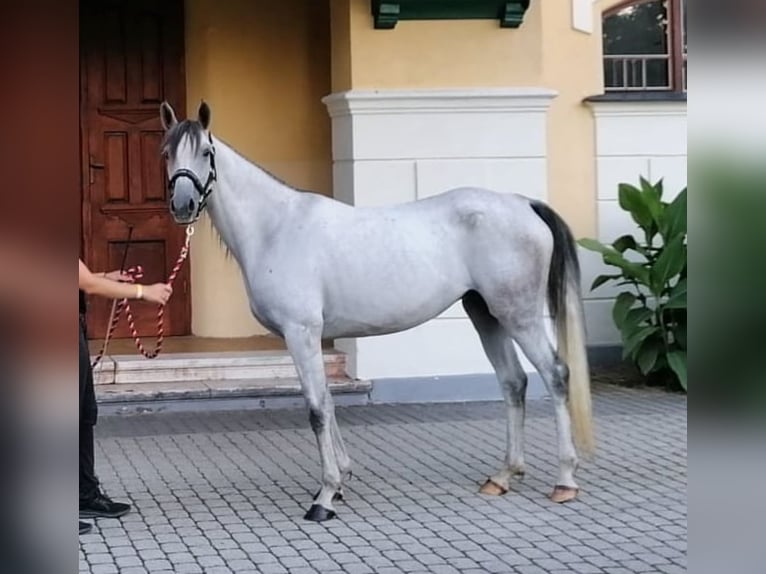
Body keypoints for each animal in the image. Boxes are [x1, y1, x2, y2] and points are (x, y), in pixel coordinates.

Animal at [159, 101, 596, 524]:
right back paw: (503, 476)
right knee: (513, 382)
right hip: (487, 314)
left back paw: (564, 480)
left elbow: (316, 409)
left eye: (206, 151)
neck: (275, 228)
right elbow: (328, 402)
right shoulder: (312, 338)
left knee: (555, 374)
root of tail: (524, 204)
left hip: (519, 315)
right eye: (166, 152)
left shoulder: (301, 333)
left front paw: (325, 497)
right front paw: (340, 481)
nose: (182, 205)